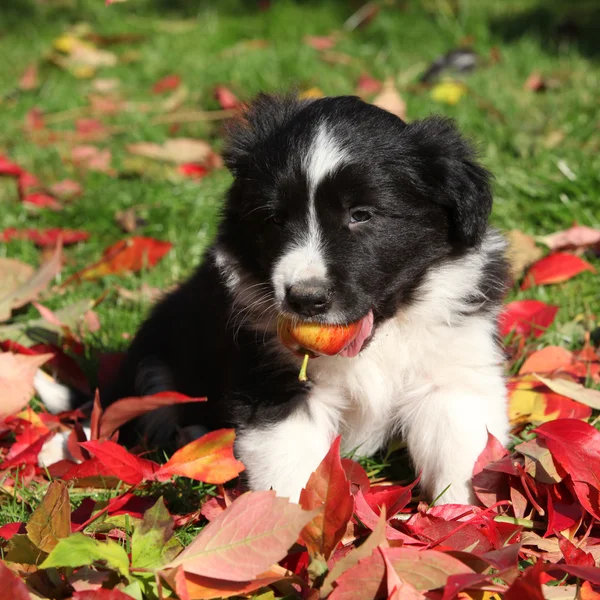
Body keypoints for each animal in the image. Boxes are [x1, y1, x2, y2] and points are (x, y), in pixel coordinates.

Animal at [101, 94, 508, 504]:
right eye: (274, 219)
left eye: (361, 214)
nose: (305, 300)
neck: (378, 340)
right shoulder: (275, 383)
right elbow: (289, 471)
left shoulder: (453, 371)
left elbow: (462, 455)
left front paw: (464, 514)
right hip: (152, 366)